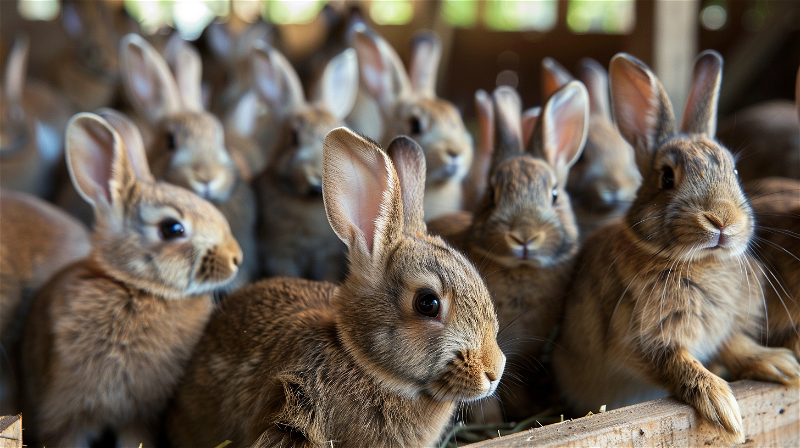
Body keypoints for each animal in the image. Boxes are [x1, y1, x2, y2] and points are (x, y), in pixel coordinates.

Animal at [231, 44, 358, 281]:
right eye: (294, 138)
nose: (317, 179)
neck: (309, 203)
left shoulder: (327, 257)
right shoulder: (280, 252)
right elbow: (286, 273)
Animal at [428, 82, 588, 422]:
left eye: (555, 195)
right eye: (491, 194)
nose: (524, 236)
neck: (521, 269)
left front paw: (527, 410)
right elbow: (483, 398)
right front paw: (493, 422)